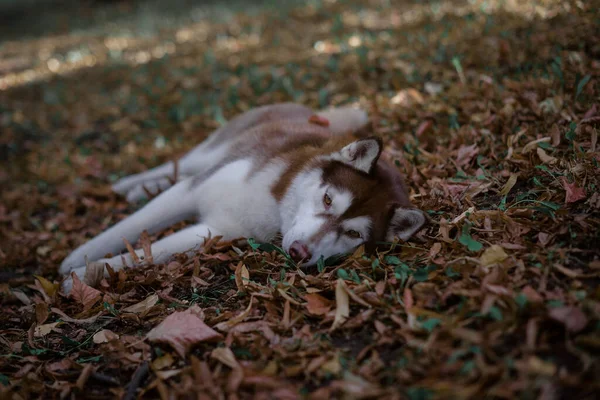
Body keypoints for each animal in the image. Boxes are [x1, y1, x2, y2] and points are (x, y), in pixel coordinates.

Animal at [59, 101, 426, 292]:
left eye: (352, 233)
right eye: (327, 200)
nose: (299, 251)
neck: (273, 205)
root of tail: (304, 107)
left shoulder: (216, 230)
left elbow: (151, 252)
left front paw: (85, 274)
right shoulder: (190, 192)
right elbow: (128, 228)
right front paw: (77, 258)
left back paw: (138, 190)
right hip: (215, 151)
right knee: (178, 164)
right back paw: (129, 184)